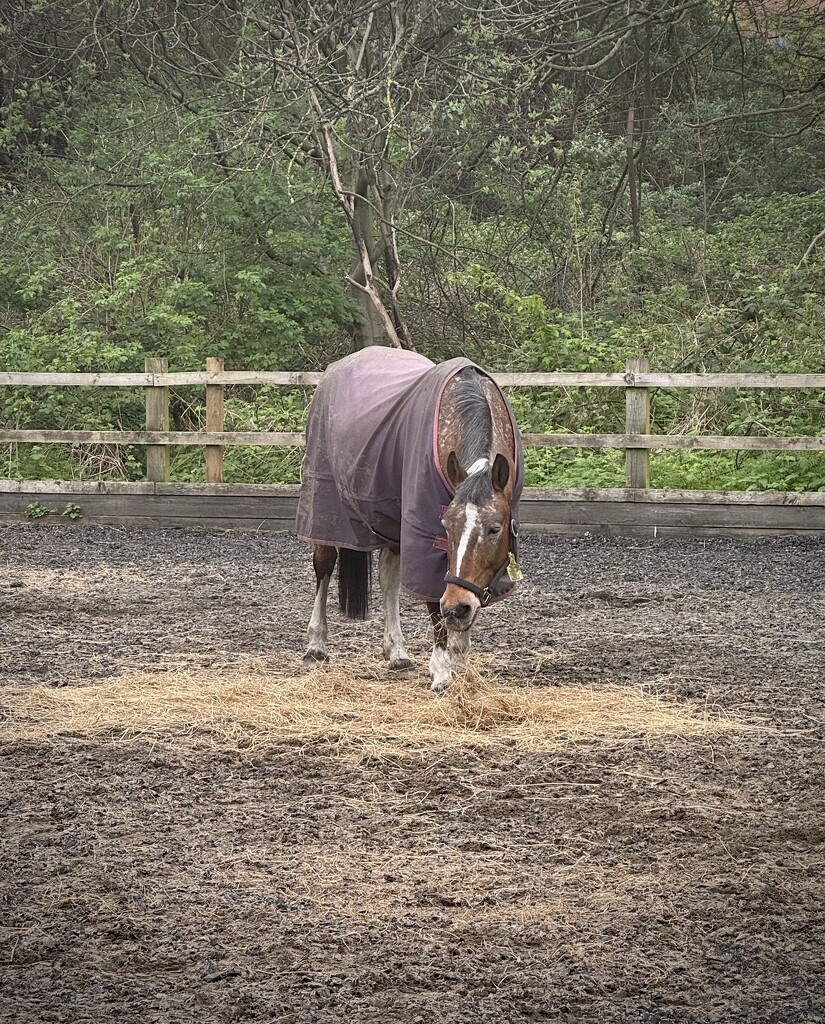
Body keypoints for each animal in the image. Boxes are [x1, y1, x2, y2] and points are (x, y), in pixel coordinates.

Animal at [294, 348, 524, 692]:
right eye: (445, 526)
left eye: (495, 529)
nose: (456, 607)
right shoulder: (424, 529)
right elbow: (433, 601)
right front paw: (442, 670)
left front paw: (460, 662)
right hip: (325, 504)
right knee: (323, 565)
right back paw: (316, 645)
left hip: (393, 524)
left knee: (389, 577)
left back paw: (396, 652)